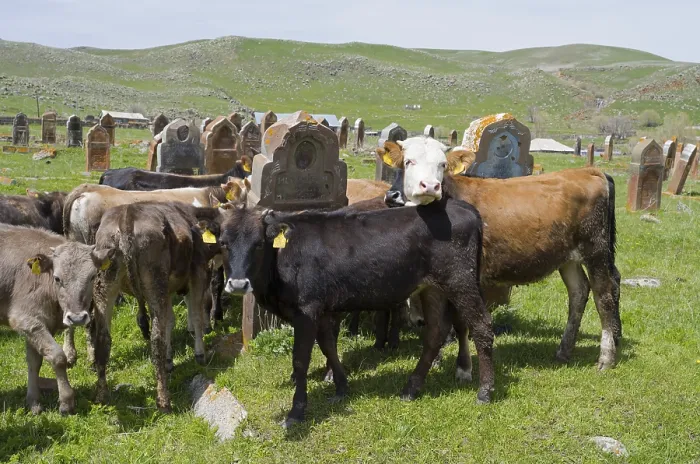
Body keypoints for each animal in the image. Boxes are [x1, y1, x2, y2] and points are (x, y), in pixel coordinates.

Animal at [0, 224, 112, 414]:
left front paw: (34, 402)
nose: (77, 318)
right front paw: (66, 401)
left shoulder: (38, 323)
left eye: (92, 276)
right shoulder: (25, 318)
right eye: (57, 278)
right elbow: (58, 357)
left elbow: (34, 362)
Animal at [90, 202, 221, 411]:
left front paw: (170, 360)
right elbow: (196, 315)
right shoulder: (198, 272)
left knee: (103, 338)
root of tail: (127, 216)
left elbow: (170, 321)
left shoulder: (169, 291)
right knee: (156, 340)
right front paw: (200, 354)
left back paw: (102, 396)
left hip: (105, 283)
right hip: (155, 283)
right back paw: (163, 400)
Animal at [204, 197, 493, 426]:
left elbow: (301, 360)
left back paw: (485, 392)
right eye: (224, 242)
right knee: (435, 333)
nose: (238, 284)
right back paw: (411, 388)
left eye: (259, 243)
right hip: (432, 288)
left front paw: (296, 411)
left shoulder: (306, 311)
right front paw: (341, 387)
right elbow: (329, 347)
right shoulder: (321, 311)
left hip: (460, 280)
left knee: (482, 328)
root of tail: (461, 206)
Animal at [379, 137, 621, 370]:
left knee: (604, 296)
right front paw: (436, 360)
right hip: (568, 258)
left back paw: (606, 358)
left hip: (596, 250)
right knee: (578, 292)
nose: (429, 186)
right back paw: (564, 351)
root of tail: (588, 171)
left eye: (443, 164)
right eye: (407, 162)